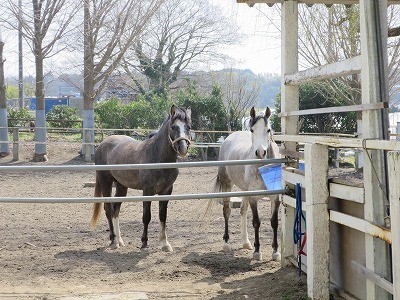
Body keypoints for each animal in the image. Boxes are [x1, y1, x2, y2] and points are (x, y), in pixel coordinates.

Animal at [91, 104, 191, 252]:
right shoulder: (147, 191)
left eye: (188, 127)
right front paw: (144, 243)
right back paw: (114, 241)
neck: (158, 157)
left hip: (121, 187)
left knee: (116, 210)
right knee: (108, 209)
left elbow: (163, 216)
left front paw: (165, 244)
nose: (183, 148)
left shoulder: (167, 191)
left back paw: (120, 240)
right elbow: (146, 217)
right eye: (174, 127)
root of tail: (103, 143)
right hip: (106, 182)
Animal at [208, 107, 280, 260]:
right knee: (226, 211)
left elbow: (274, 222)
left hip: (244, 190)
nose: (261, 152)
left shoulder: (275, 197)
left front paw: (276, 252)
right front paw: (257, 252)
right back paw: (227, 243)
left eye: (268, 130)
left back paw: (246, 242)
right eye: (252, 130)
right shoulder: (253, 198)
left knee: (242, 210)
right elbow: (256, 222)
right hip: (227, 185)